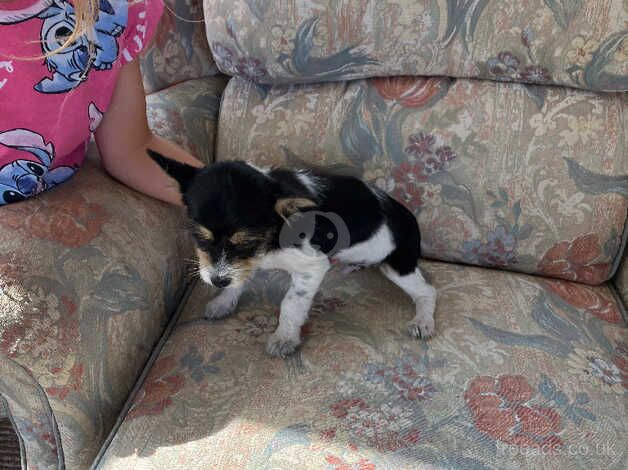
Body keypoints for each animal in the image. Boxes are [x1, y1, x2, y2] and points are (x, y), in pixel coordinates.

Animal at [150, 151, 440, 356]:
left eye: (246, 241)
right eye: (200, 237)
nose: (217, 281)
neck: (271, 235)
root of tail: (407, 215)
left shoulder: (312, 266)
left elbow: (291, 303)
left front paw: (284, 337)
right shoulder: (245, 263)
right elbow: (239, 278)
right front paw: (224, 300)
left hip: (398, 264)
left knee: (427, 291)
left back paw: (423, 321)